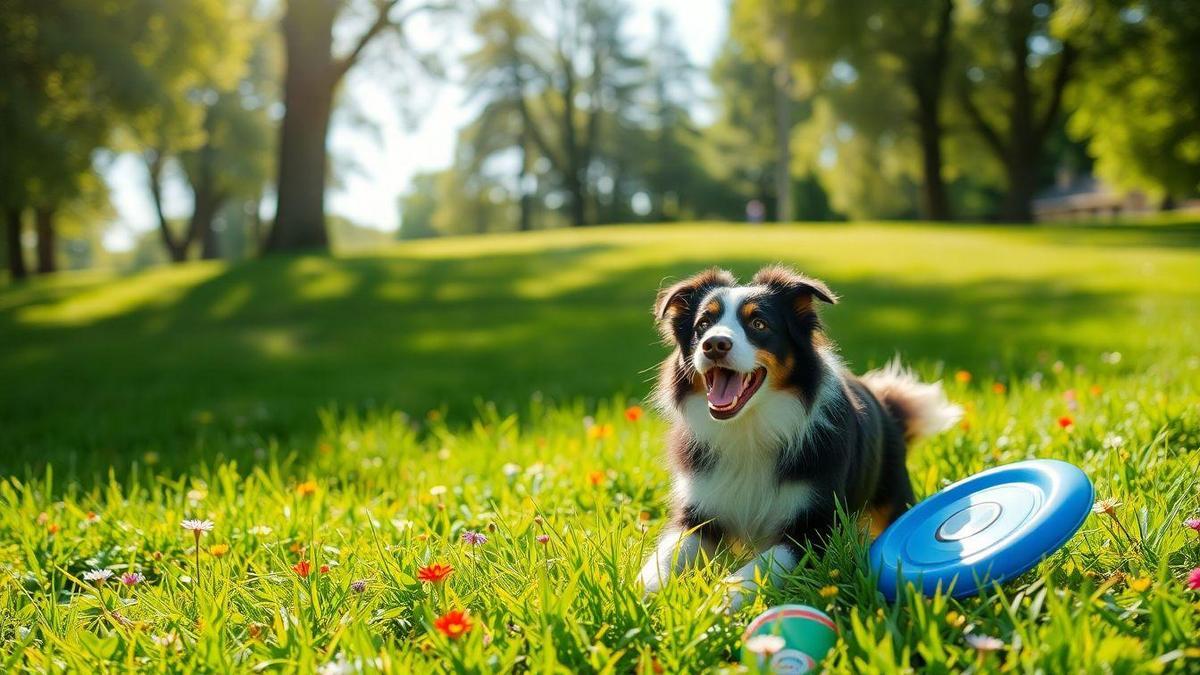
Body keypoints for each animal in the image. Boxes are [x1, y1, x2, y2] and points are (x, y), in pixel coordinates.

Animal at [633, 265, 960, 607]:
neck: (749, 428)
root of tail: (886, 404)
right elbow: (668, 554)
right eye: (703, 325)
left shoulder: (816, 527)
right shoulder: (699, 510)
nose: (714, 344)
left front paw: (720, 599)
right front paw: (641, 593)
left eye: (759, 324)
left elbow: (761, 564)